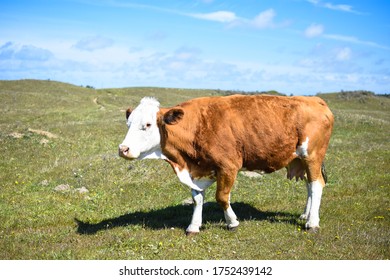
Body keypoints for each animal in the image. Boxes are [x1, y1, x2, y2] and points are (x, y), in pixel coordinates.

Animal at [117, 94, 334, 234]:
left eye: (147, 125)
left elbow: (221, 197)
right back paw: (305, 215)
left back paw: (312, 223)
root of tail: (315, 100)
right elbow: (197, 198)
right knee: (309, 186)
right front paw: (193, 226)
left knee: (316, 185)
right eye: (128, 124)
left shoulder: (228, 166)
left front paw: (232, 222)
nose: (123, 149)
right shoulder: (199, 169)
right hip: (300, 159)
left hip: (312, 155)